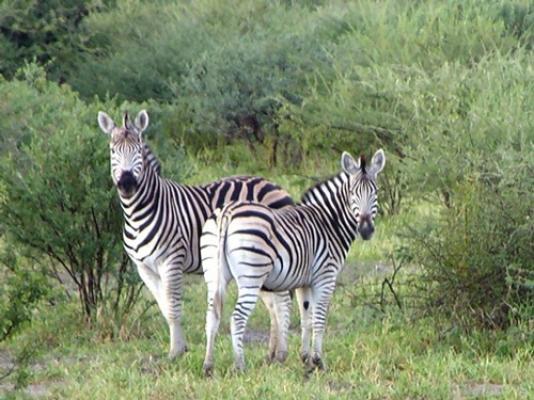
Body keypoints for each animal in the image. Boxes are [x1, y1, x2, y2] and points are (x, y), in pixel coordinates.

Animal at [98, 108, 296, 360]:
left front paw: (175, 352)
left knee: (282, 301)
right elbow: (165, 307)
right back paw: (271, 353)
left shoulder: (172, 261)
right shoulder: (144, 268)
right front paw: (180, 348)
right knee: (273, 303)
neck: (139, 213)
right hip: (258, 262)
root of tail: (274, 184)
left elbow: (173, 306)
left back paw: (281, 353)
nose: (126, 184)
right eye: (113, 151)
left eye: (138, 150)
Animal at [201, 148, 386, 374]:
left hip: (214, 273)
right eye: (352, 193)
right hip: (251, 277)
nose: (366, 230)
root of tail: (226, 213)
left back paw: (208, 366)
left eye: (375, 192)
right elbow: (319, 318)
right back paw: (240, 366)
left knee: (212, 316)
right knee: (237, 319)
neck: (329, 223)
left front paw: (305, 358)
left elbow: (306, 318)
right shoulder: (325, 277)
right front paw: (318, 361)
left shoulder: (303, 282)